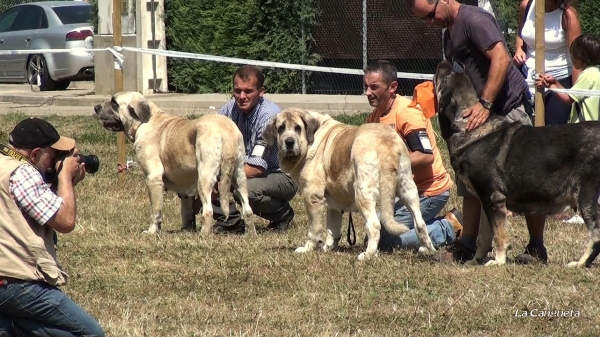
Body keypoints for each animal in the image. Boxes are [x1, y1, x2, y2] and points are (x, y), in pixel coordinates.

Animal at [94, 90, 255, 235]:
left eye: (114, 103)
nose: (95, 107)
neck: (144, 122)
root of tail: (226, 130)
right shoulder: (186, 190)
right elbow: (186, 211)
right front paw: (186, 230)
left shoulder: (153, 179)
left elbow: (156, 211)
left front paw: (152, 231)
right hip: (239, 177)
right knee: (247, 209)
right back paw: (250, 233)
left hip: (204, 178)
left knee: (208, 211)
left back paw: (203, 235)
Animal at [262, 107, 436, 260]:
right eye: (281, 128)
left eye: (297, 128)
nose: (289, 142)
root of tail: (384, 142)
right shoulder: (332, 204)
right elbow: (332, 229)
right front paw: (327, 248)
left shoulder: (312, 197)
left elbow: (314, 229)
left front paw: (307, 249)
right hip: (409, 190)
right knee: (420, 223)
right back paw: (428, 249)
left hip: (363, 194)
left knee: (374, 226)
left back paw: (368, 255)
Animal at [434, 59, 600, 266]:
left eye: (445, 78)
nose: (444, 62)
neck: (469, 127)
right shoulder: (485, 201)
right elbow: (484, 236)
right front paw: (476, 261)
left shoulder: (494, 199)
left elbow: (499, 236)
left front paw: (498, 261)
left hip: (586, 197)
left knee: (596, 236)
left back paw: (579, 263)